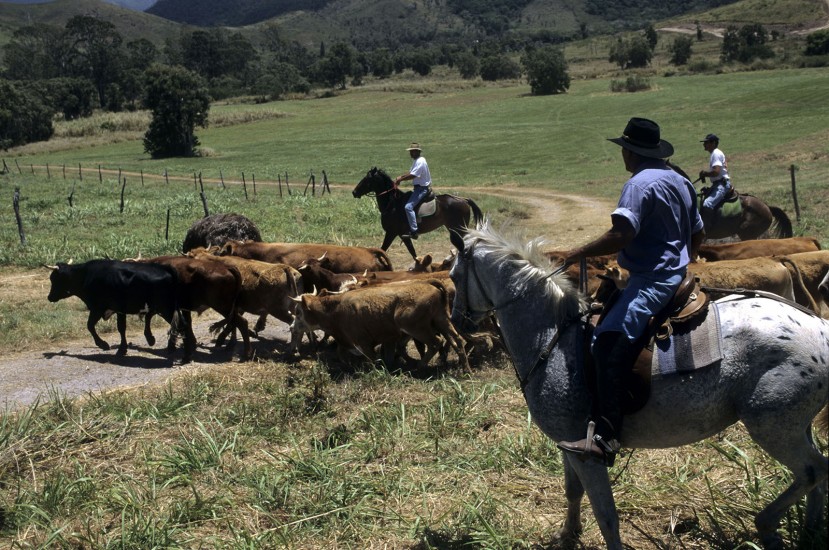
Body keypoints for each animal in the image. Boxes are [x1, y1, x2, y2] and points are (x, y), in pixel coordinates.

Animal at [47, 260, 189, 362]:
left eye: (54, 279)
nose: (49, 297)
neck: (85, 275)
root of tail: (166, 268)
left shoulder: (97, 308)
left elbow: (90, 326)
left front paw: (103, 344)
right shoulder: (120, 310)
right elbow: (121, 328)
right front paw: (122, 349)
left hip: (166, 308)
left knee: (180, 325)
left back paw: (182, 355)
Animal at [290, 282, 468, 374]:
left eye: (298, 312)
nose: (292, 328)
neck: (336, 309)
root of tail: (430, 284)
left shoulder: (363, 342)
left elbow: (373, 359)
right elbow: (341, 353)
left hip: (416, 328)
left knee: (435, 342)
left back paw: (419, 366)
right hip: (442, 320)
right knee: (457, 341)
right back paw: (465, 368)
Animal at [350, 167, 482, 260]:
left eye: (367, 179)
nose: (354, 192)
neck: (392, 204)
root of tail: (464, 199)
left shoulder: (392, 232)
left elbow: (383, 250)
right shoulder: (402, 235)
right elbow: (412, 252)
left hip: (458, 228)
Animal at [450, 221, 828, 550]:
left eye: (454, 275)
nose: (458, 320)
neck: (554, 338)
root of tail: (820, 327)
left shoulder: (586, 452)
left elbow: (606, 516)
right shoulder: (568, 444)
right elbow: (573, 492)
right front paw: (568, 534)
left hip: (773, 428)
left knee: (812, 471)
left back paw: (767, 524)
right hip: (796, 425)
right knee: (819, 470)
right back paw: (810, 531)